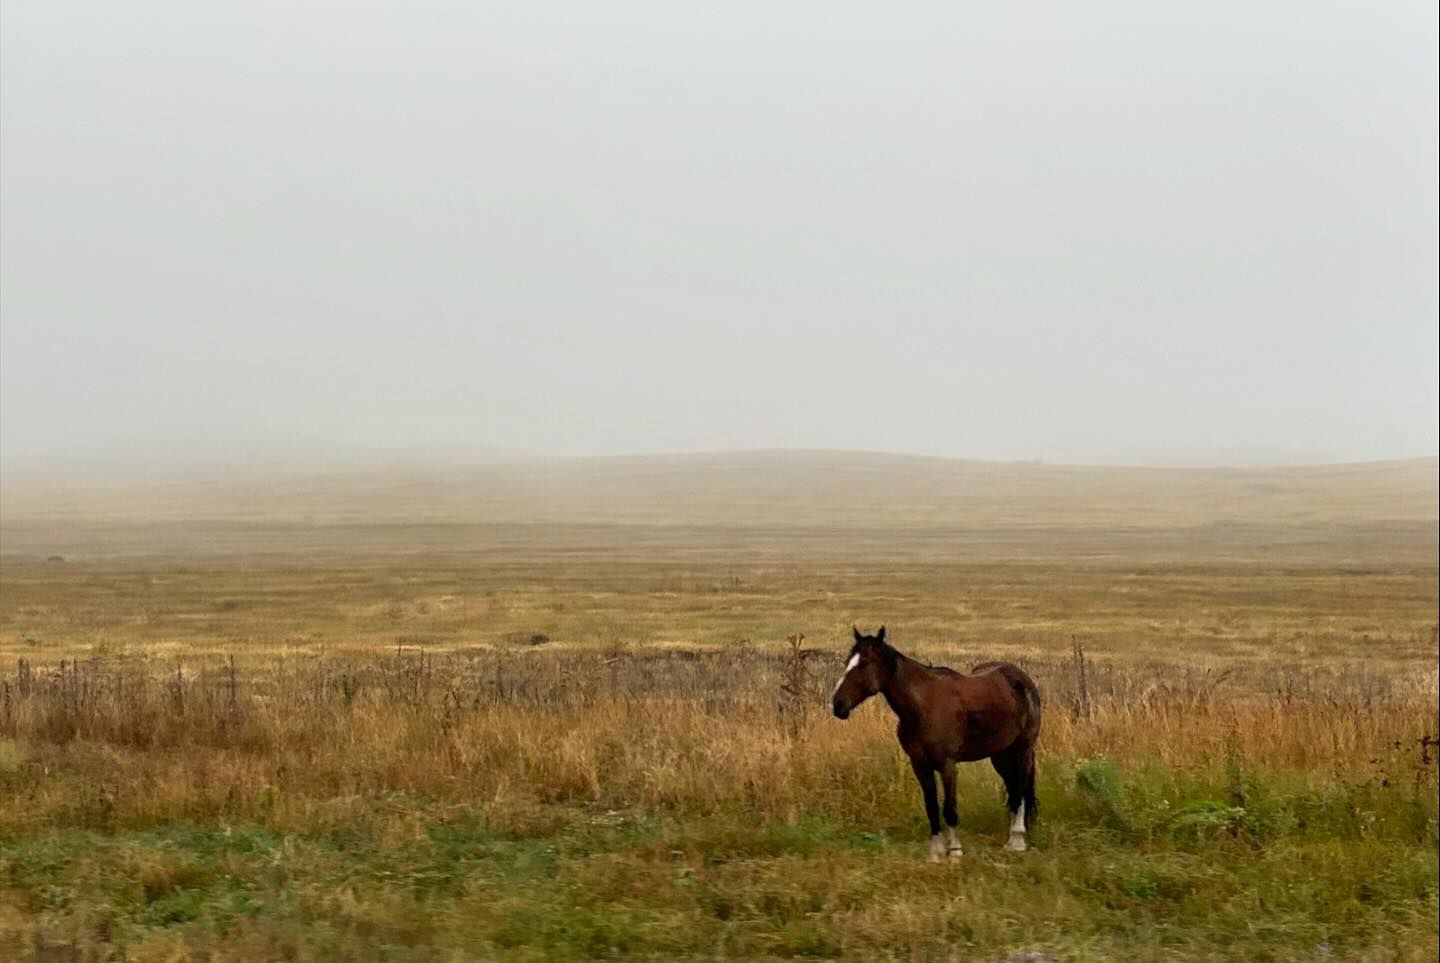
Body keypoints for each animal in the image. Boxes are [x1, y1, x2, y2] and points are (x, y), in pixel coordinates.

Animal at [829, 627, 1042, 857]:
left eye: (864, 663)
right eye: (848, 662)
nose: (838, 705)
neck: (923, 706)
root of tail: (1021, 679)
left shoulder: (947, 765)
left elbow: (949, 809)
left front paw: (955, 851)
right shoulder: (920, 765)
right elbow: (931, 806)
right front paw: (936, 852)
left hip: (1023, 749)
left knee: (1020, 789)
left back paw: (1017, 840)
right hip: (1000, 754)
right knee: (1013, 789)